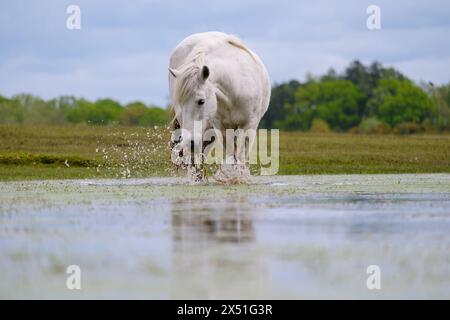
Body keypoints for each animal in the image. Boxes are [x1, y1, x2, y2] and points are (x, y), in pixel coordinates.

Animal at [167, 31, 268, 182]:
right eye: (180, 103)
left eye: (201, 101)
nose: (189, 142)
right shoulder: (221, 127)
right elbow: (231, 155)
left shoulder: (249, 125)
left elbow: (241, 156)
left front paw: (240, 178)